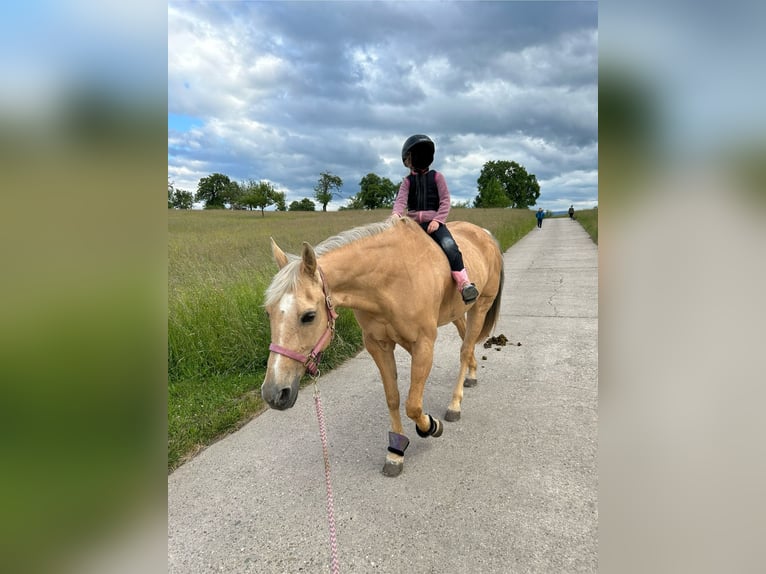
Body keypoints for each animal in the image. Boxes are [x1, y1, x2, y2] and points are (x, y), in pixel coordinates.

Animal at [261, 216, 504, 476]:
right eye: (268, 313)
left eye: (309, 316)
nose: (274, 393)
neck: (389, 281)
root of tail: (485, 234)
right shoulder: (378, 346)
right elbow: (393, 397)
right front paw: (396, 451)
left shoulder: (423, 345)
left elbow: (413, 405)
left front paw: (431, 426)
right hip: (458, 312)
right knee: (465, 342)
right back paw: (472, 374)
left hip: (480, 307)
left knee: (465, 349)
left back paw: (455, 405)